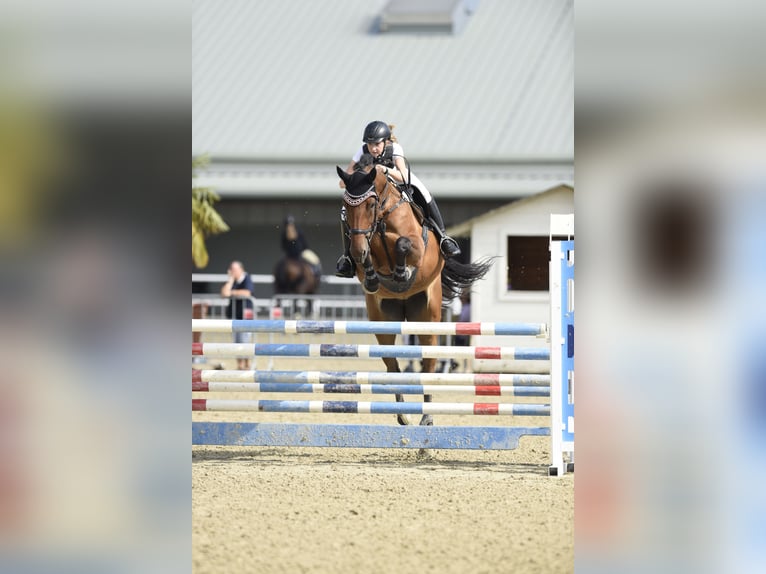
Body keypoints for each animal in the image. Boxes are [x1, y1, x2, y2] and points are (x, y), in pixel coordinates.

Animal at [336, 166, 492, 428]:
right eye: (346, 208)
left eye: (371, 205)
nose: (357, 251)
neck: (383, 218)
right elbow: (372, 260)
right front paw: (371, 276)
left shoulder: (417, 246)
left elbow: (403, 243)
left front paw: (402, 272)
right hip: (383, 323)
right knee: (393, 365)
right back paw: (403, 415)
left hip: (427, 318)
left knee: (428, 364)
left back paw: (426, 416)